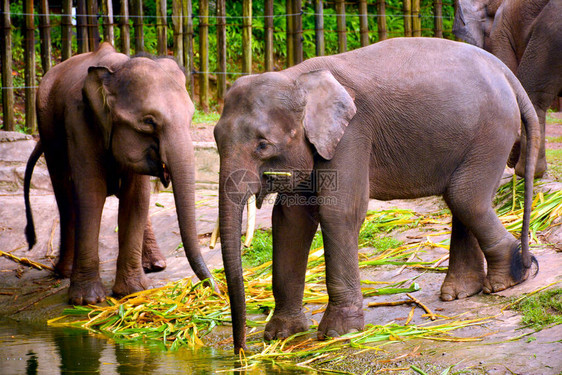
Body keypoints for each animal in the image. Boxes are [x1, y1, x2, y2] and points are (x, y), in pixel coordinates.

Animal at [23, 41, 214, 306]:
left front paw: (132, 291)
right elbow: (91, 193)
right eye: (148, 121)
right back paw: (63, 272)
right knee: (64, 193)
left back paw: (155, 265)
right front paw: (87, 300)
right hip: (47, 126)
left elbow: (136, 198)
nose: (215, 287)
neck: (116, 70)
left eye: (191, 116)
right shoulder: (79, 121)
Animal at [213, 36, 540, 354]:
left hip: (492, 132)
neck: (297, 77)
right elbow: (290, 220)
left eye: (263, 145)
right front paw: (281, 336)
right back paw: (459, 292)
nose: (241, 350)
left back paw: (504, 282)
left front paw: (338, 334)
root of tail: (508, 75)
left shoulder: (353, 133)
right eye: (216, 138)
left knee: (465, 196)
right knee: (461, 198)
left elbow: (339, 212)